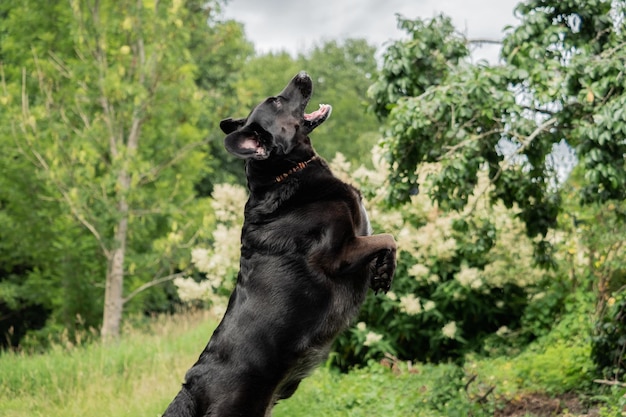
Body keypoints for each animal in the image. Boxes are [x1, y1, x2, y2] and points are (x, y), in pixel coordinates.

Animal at [161, 72, 394, 416]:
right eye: (277, 101)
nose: (303, 74)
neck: (284, 173)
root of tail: (192, 388)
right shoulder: (340, 253)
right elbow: (388, 237)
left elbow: (385, 242)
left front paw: (383, 271)